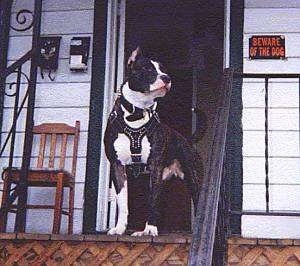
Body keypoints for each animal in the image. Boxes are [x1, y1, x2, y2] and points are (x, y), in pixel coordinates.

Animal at [103, 46, 204, 236]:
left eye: (163, 69)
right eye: (148, 69)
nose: (167, 78)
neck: (136, 113)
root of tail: (186, 139)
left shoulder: (155, 167)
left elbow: (152, 201)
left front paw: (149, 229)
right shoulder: (117, 166)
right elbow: (123, 203)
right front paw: (120, 228)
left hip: (193, 177)